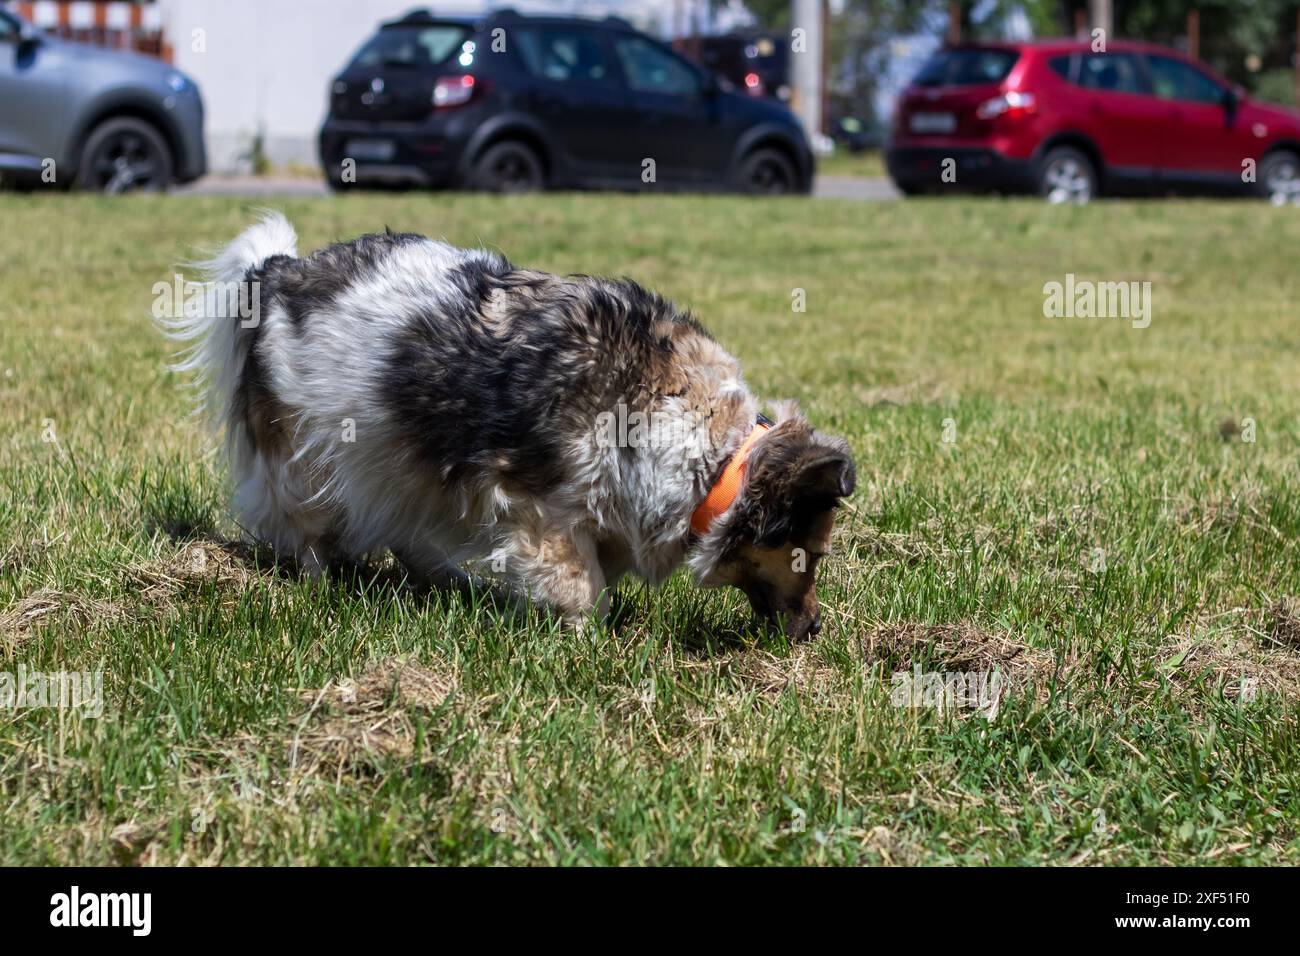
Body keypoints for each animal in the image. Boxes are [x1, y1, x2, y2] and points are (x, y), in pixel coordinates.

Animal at [165, 213, 852, 639]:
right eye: (808, 556)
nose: (816, 629)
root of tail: (277, 271)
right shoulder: (539, 507)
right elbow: (582, 585)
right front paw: (588, 638)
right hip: (309, 450)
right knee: (305, 521)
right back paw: (322, 580)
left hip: (396, 458)